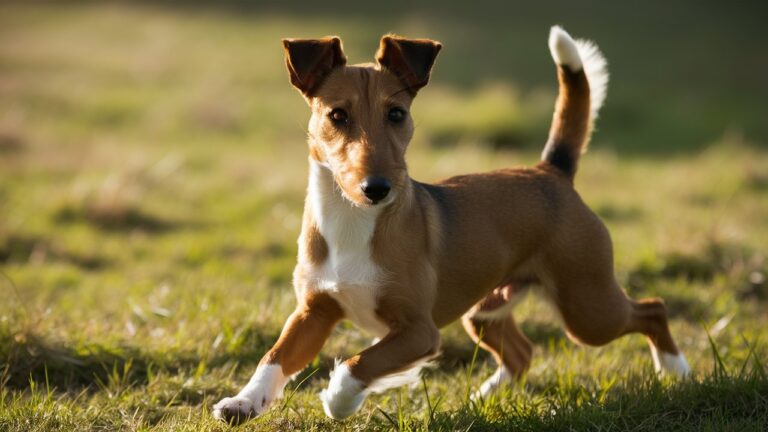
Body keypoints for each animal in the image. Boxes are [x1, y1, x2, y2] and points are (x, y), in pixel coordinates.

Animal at [213, 25, 692, 424]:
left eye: (396, 114)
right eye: (337, 115)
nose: (377, 187)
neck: (354, 223)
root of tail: (549, 170)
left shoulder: (418, 331)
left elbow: (358, 363)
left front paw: (339, 400)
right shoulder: (314, 311)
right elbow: (275, 357)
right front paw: (243, 402)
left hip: (587, 308)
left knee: (652, 308)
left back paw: (678, 371)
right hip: (486, 309)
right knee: (521, 352)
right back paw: (485, 398)